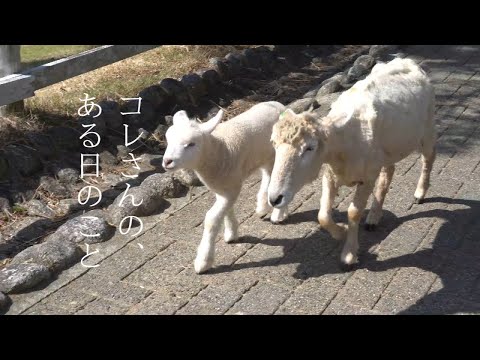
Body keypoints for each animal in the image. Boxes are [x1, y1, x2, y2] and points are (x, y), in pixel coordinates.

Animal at [163, 101, 286, 272]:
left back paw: (278, 214)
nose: (167, 161)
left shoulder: (231, 188)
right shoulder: (223, 187)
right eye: (168, 140)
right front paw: (232, 233)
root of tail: (277, 104)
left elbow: (211, 219)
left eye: (191, 144)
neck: (220, 150)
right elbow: (227, 210)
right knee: (268, 175)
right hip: (265, 156)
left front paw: (203, 261)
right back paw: (262, 206)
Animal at [268, 58, 436, 268]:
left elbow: (354, 212)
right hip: (385, 152)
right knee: (389, 171)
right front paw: (341, 232)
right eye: (273, 144)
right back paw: (373, 217)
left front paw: (349, 254)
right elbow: (323, 215)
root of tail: (407, 60)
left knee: (428, 158)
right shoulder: (330, 174)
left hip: (427, 129)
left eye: (309, 148)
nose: (275, 199)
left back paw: (420, 193)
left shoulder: (367, 178)